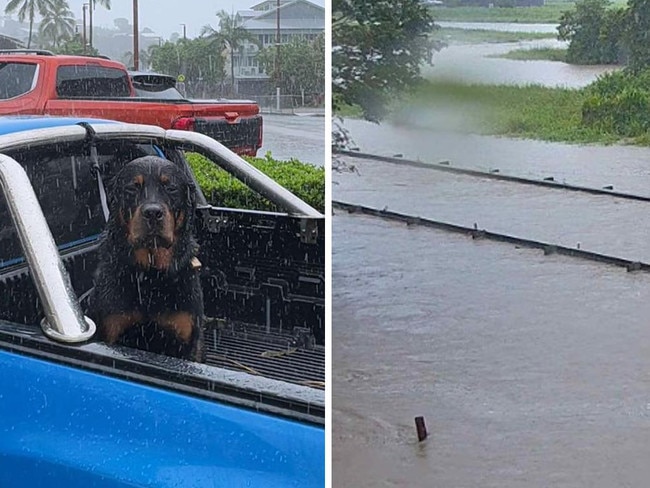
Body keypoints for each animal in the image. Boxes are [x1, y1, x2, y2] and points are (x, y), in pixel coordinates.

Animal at [86, 156, 202, 362]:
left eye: (170, 187)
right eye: (133, 187)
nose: (153, 212)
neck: (151, 275)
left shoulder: (187, 340)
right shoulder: (112, 330)